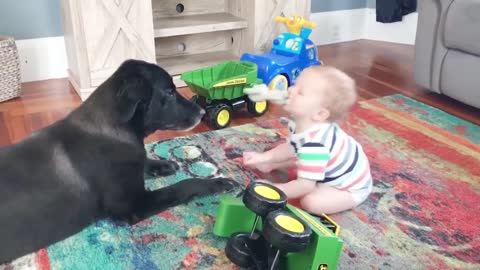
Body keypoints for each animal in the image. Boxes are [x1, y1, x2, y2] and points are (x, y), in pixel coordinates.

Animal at [0, 59, 236, 264]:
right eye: (169, 92)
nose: (203, 111)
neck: (115, 128)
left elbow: (144, 160)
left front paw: (162, 164)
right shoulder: (133, 204)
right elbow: (182, 185)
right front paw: (217, 183)